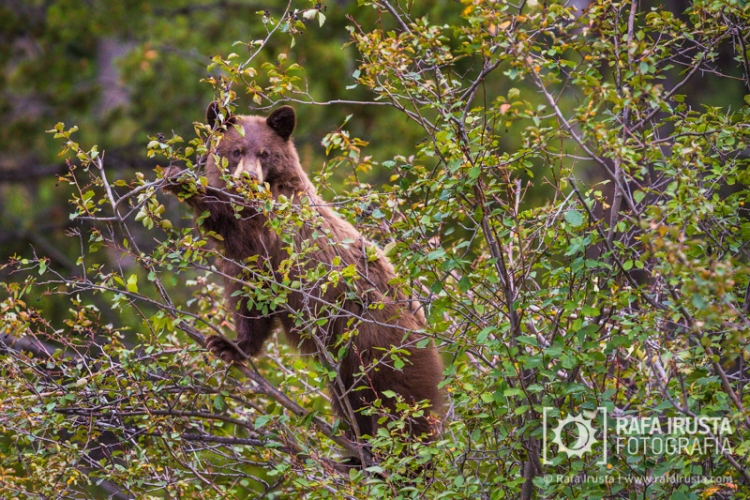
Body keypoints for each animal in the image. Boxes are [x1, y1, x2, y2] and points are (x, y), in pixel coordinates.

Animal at [163, 102, 444, 445]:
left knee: (403, 405)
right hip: (348, 366)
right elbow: (249, 301)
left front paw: (186, 183)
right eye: (235, 150)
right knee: (353, 400)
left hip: (383, 345)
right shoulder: (245, 263)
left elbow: (242, 226)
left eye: (265, 153)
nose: (248, 178)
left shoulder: (278, 223)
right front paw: (228, 344)